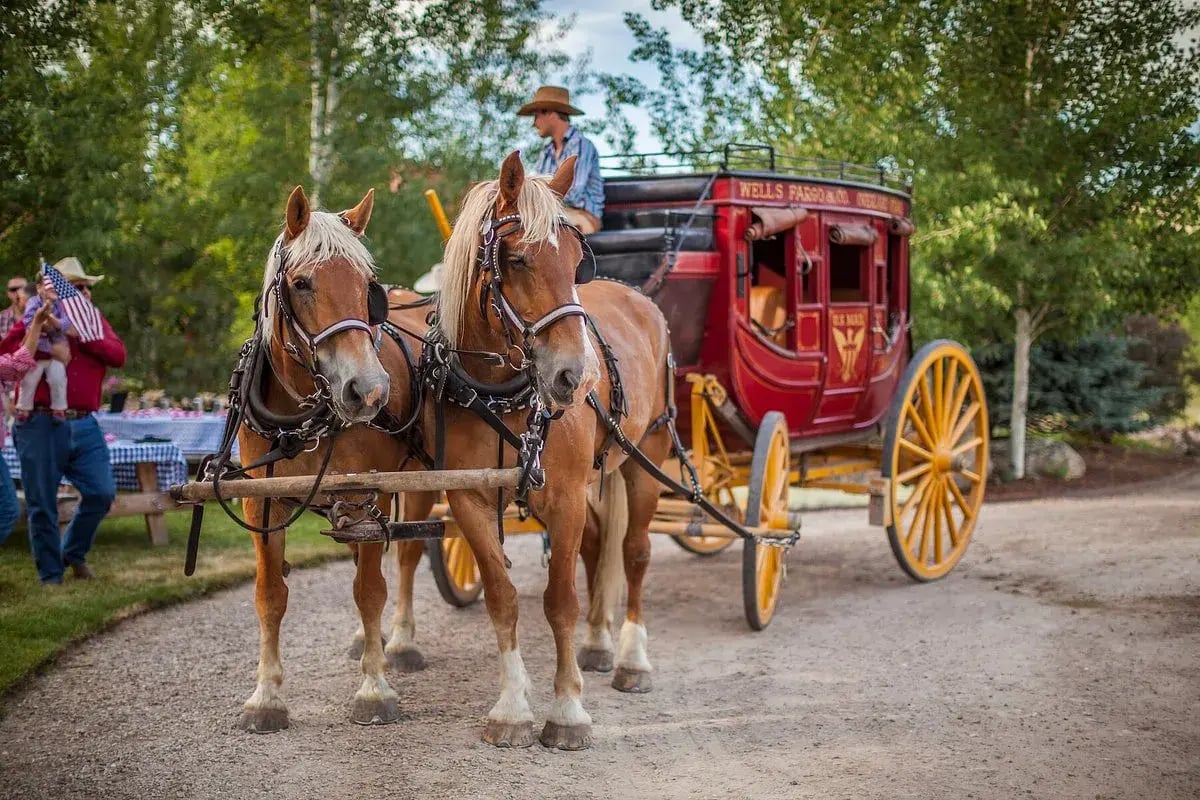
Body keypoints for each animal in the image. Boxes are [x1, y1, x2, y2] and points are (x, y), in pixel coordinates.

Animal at [231, 185, 429, 734]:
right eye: (301, 283)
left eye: (367, 286)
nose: (369, 391)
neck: (300, 419)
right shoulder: (262, 503)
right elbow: (269, 595)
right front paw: (265, 696)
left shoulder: (363, 494)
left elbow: (370, 591)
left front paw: (374, 688)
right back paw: (369, 640)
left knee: (406, 556)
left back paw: (399, 642)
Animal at [391, 154, 676, 753]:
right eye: (517, 258)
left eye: (574, 261)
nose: (573, 375)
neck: (503, 392)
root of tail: (638, 297)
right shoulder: (469, 498)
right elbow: (503, 597)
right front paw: (511, 708)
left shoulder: (564, 497)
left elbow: (559, 600)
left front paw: (567, 711)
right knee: (598, 549)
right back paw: (598, 644)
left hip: (648, 459)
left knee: (635, 553)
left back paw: (631, 659)